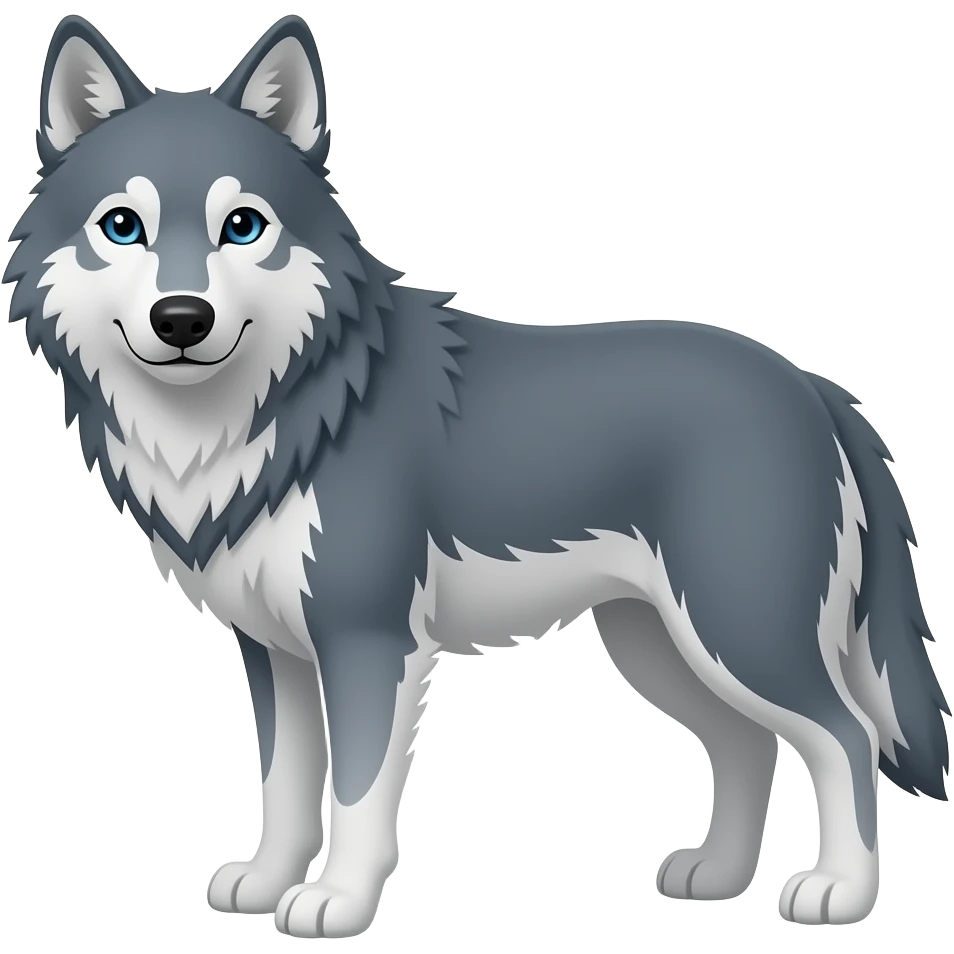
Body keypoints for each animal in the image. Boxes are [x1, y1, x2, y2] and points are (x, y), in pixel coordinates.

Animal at [3, 11, 950, 938]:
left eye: (243, 226)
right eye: (122, 226)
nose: (182, 319)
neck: (267, 413)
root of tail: (812, 385)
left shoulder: (369, 642)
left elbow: (354, 795)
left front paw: (337, 903)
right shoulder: (276, 653)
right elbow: (284, 789)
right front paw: (267, 884)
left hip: (737, 634)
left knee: (847, 737)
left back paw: (838, 892)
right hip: (660, 644)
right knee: (750, 745)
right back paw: (715, 877)